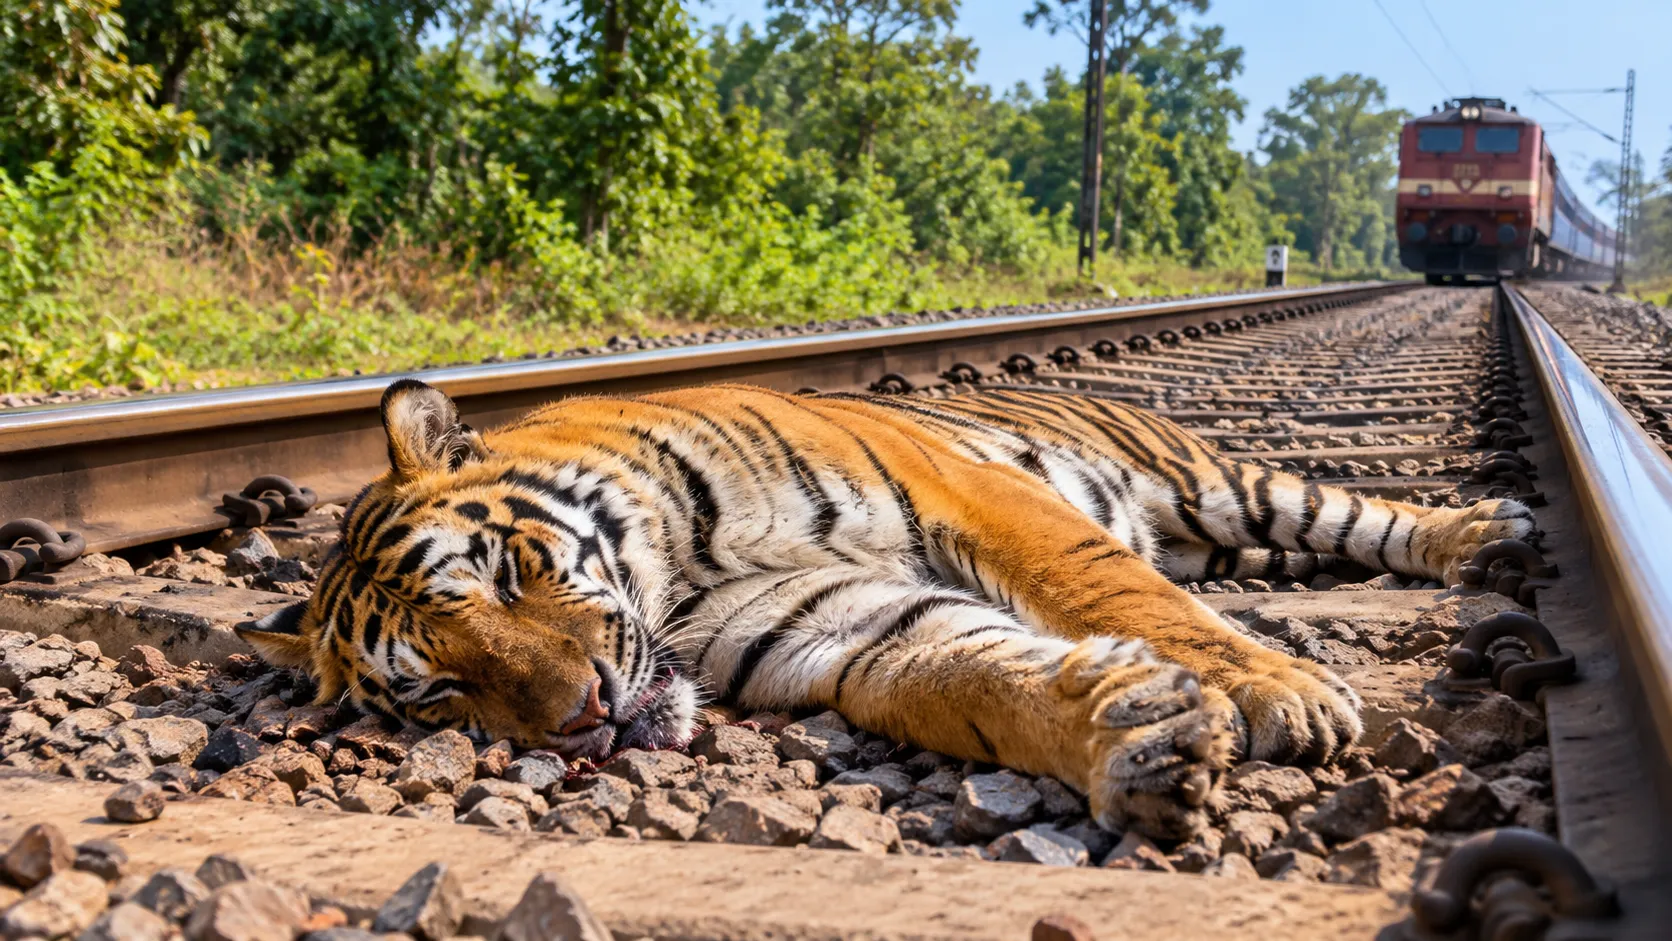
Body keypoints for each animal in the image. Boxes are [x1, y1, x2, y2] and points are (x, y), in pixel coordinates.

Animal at [238, 378, 1535, 836]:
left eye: (508, 575)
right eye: (438, 691)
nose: (583, 719)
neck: (675, 578)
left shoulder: (970, 493)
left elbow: (1103, 584)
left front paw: (1277, 688)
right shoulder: (829, 623)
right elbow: (960, 673)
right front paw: (1131, 735)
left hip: (1221, 485)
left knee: (1351, 515)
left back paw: (1487, 531)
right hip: (1221, 529)